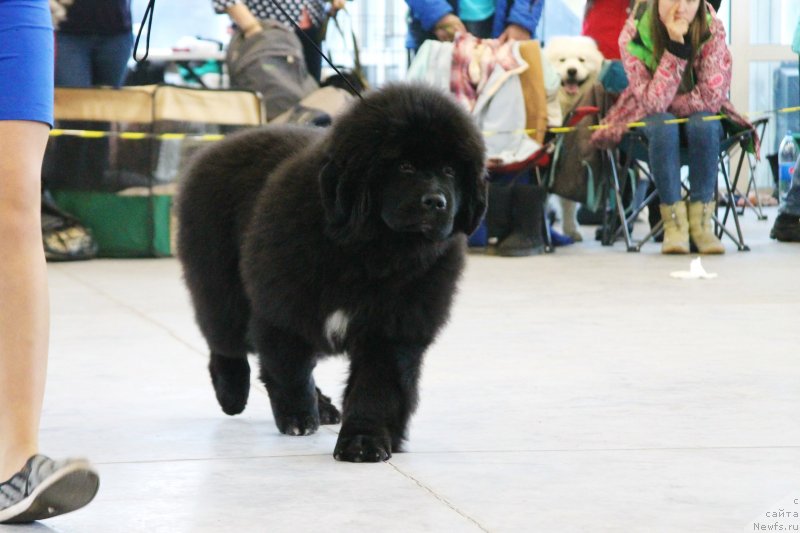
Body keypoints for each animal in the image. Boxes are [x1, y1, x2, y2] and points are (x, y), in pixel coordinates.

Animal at [177, 83, 484, 462]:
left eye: (450, 170)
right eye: (405, 166)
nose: (436, 202)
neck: (371, 253)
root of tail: (222, 144)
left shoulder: (394, 326)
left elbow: (377, 386)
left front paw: (364, 441)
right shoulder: (282, 307)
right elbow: (288, 367)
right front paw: (298, 416)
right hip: (219, 281)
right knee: (225, 339)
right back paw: (232, 393)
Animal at [540, 38, 604, 243]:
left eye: (581, 60)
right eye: (562, 60)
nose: (572, 71)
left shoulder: (566, 162)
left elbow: (568, 202)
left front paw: (571, 230)